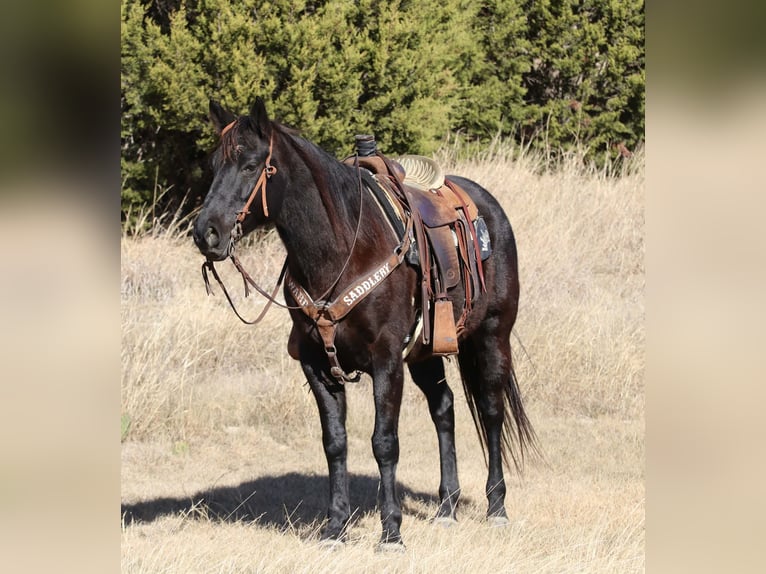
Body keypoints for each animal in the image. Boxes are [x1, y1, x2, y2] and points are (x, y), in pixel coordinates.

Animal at [192, 97, 538, 551]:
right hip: (425, 353)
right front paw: (335, 527)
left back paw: (496, 507)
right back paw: (446, 507)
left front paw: (391, 531)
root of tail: (489, 208)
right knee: (444, 408)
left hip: (492, 336)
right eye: (214, 164)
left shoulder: (386, 361)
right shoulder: (317, 364)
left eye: (251, 165)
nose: (206, 233)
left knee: (492, 411)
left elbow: (384, 442)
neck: (342, 250)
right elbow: (335, 443)